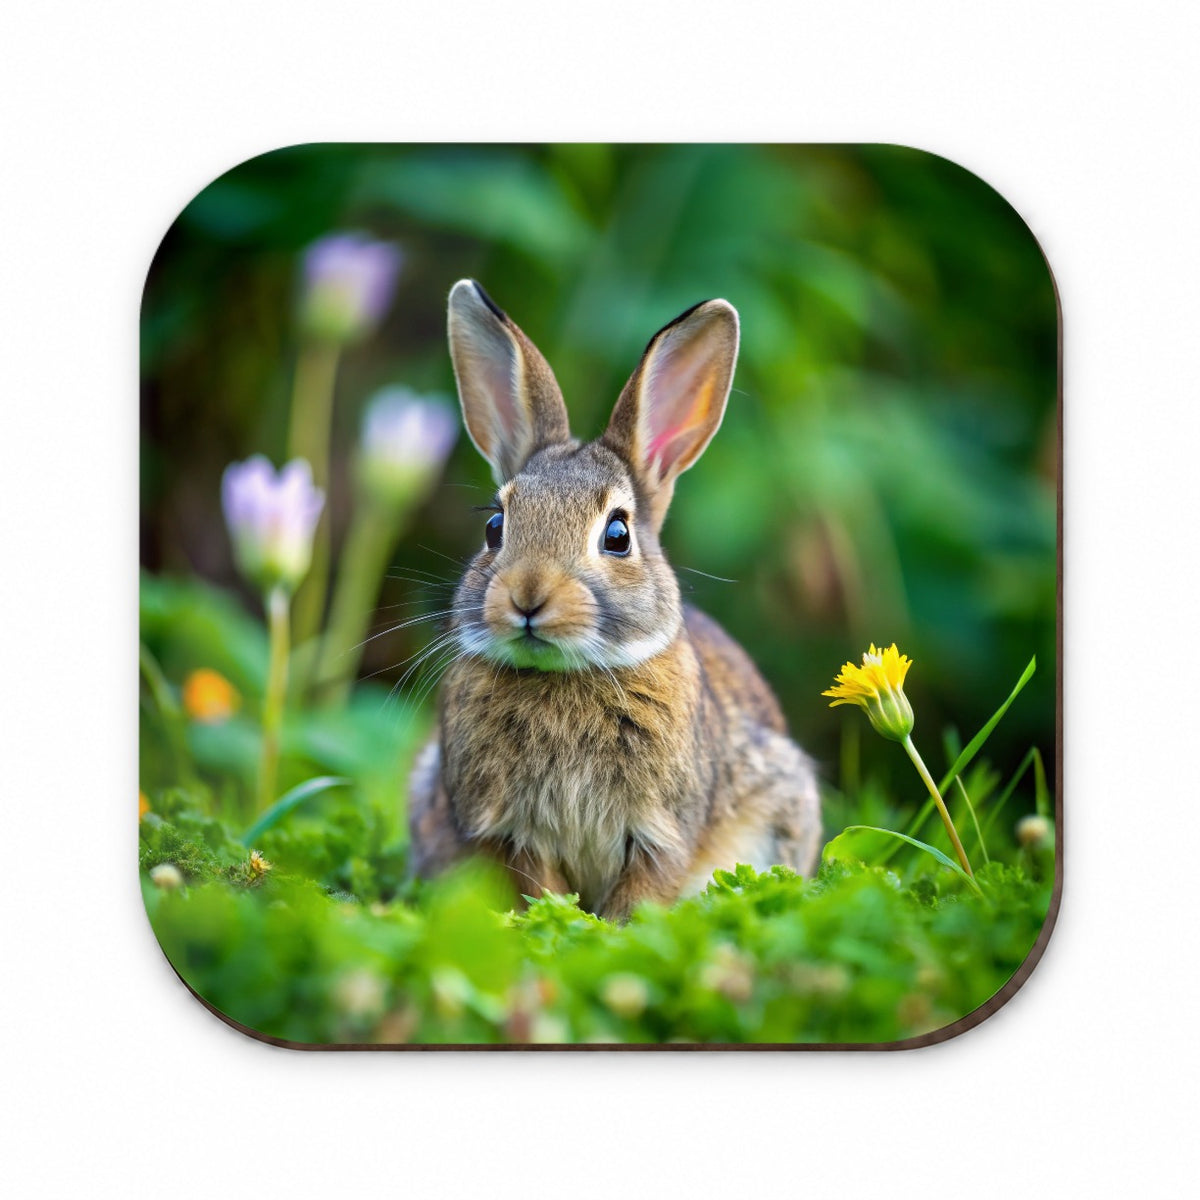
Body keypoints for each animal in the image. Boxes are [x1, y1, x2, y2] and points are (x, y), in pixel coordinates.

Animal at [408, 280, 821, 921]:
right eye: (495, 528)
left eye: (618, 535)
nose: (527, 596)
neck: (565, 677)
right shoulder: (510, 833)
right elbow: (539, 888)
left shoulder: (662, 832)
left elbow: (645, 892)